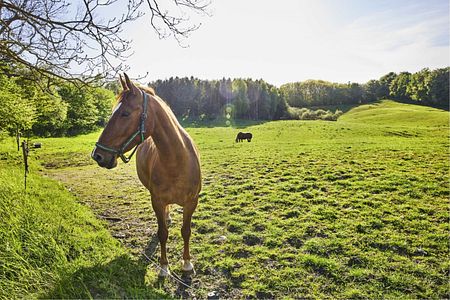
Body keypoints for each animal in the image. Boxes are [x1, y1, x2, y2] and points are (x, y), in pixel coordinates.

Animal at [91, 74, 200, 278]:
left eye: (125, 113)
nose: (98, 155)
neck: (177, 162)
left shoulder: (192, 202)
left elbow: (186, 231)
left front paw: (187, 264)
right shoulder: (157, 201)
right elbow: (162, 233)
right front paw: (164, 267)